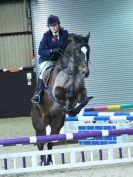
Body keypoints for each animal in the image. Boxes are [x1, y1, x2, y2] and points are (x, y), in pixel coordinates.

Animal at [30, 32, 93, 165]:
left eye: (88, 50)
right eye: (78, 51)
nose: (86, 72)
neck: (72, 71)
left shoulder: (81, 91)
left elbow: (83, 99)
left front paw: (73, 110)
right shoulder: (55, 91)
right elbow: (67, 94)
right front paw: (68, 106)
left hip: (56, 123)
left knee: (50, 142)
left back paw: (48, 161)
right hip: (40, 124)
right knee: (40, 142)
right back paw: (42, 162)